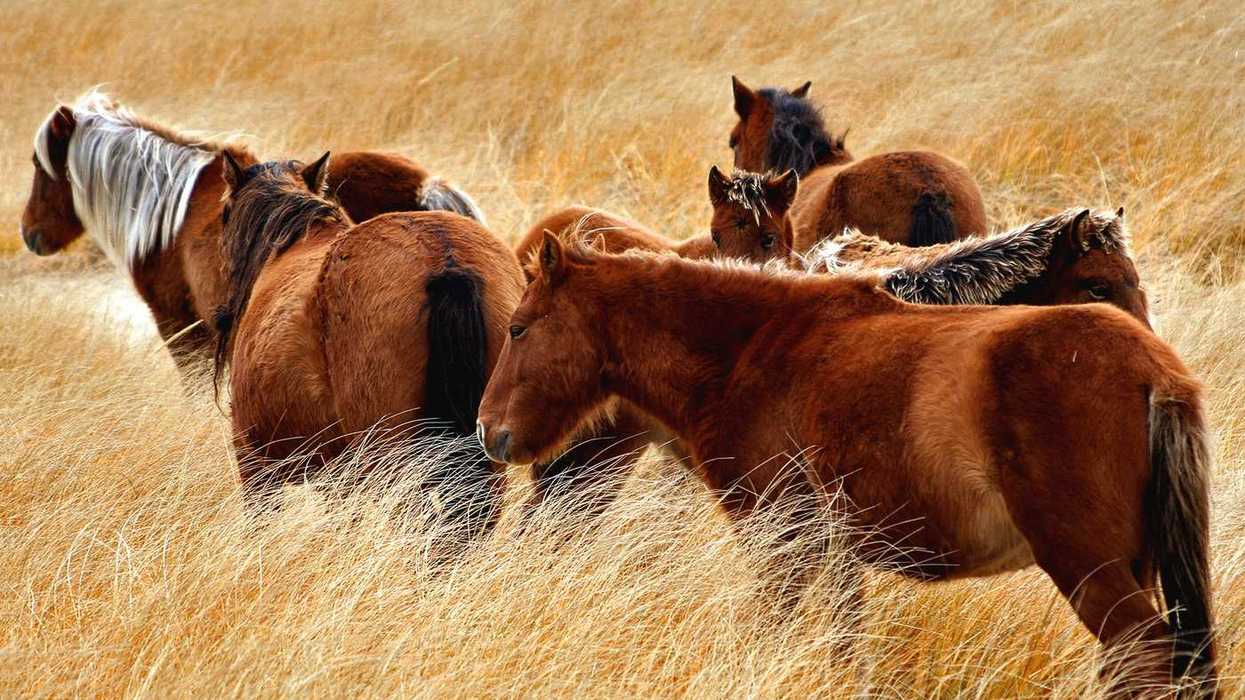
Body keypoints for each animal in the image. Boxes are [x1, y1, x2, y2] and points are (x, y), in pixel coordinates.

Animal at [477, 235, 1217, 696]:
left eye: (519, 327)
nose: (490, 431)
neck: (752, 349)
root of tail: (1154, 369)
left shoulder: (779, 544)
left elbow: (768, 635)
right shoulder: (834, 556)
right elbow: (843, 649)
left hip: (1089, 570)